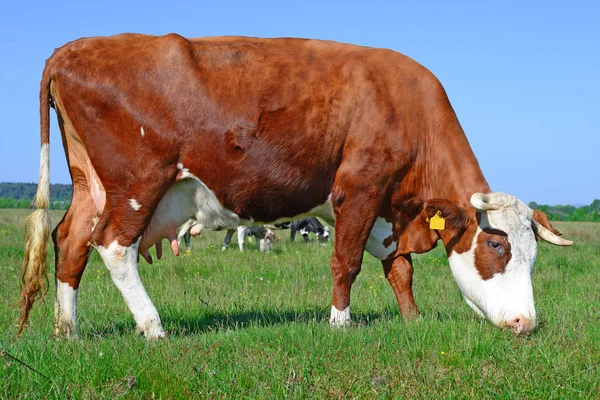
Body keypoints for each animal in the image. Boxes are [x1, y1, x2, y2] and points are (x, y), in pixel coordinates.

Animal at [18, 33, 572, 338]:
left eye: (533, 257)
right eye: (497, 247)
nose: (525, 324)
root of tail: (71, 49)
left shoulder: (387, 209)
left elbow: (400, 268)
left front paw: (412, 321)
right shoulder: (360, 190)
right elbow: (347, 262)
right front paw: (340, 324)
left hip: (91, 185)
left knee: (70, 241)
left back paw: (67, 331)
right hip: (138, 182)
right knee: (113, 246)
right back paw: (153, 328)